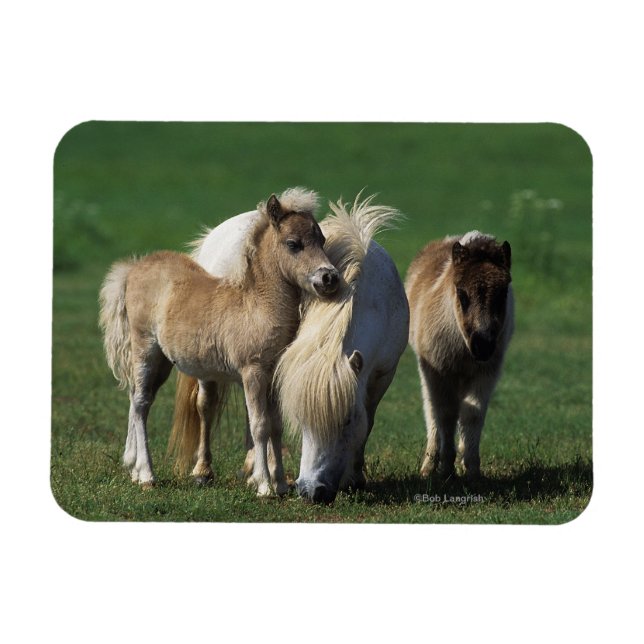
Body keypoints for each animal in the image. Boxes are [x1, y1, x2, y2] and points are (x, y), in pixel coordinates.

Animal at [99, 190, 339, 495]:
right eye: (293, 244)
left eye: (321, 240)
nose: (329, 277)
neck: (257, 306)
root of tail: (133, 268)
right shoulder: (253, 372)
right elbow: (259, 425)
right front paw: (264, 486)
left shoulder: (273, 376)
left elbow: (275, 426)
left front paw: (281, 485)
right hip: (145, 349)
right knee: (141, 403)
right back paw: (146, 475)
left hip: (163, 362)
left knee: (138, 398)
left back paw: (133, 468)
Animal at [174, 192, 409, 503]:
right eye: (293, 244)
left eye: (347, 421)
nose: (312, 491)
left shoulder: (383, 373)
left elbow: (367, 421)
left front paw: (354, 477)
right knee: (206, 405)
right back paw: (204, 471)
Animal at [405, 231, 514, 480]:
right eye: (462, 294)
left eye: (503, 293)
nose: (483, 345)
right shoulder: (438, 371)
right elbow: (445, 414)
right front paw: (446, 468)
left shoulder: (487, 372)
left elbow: (472, 413)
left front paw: (472, 469)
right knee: (432, 411)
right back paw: (429, 465)